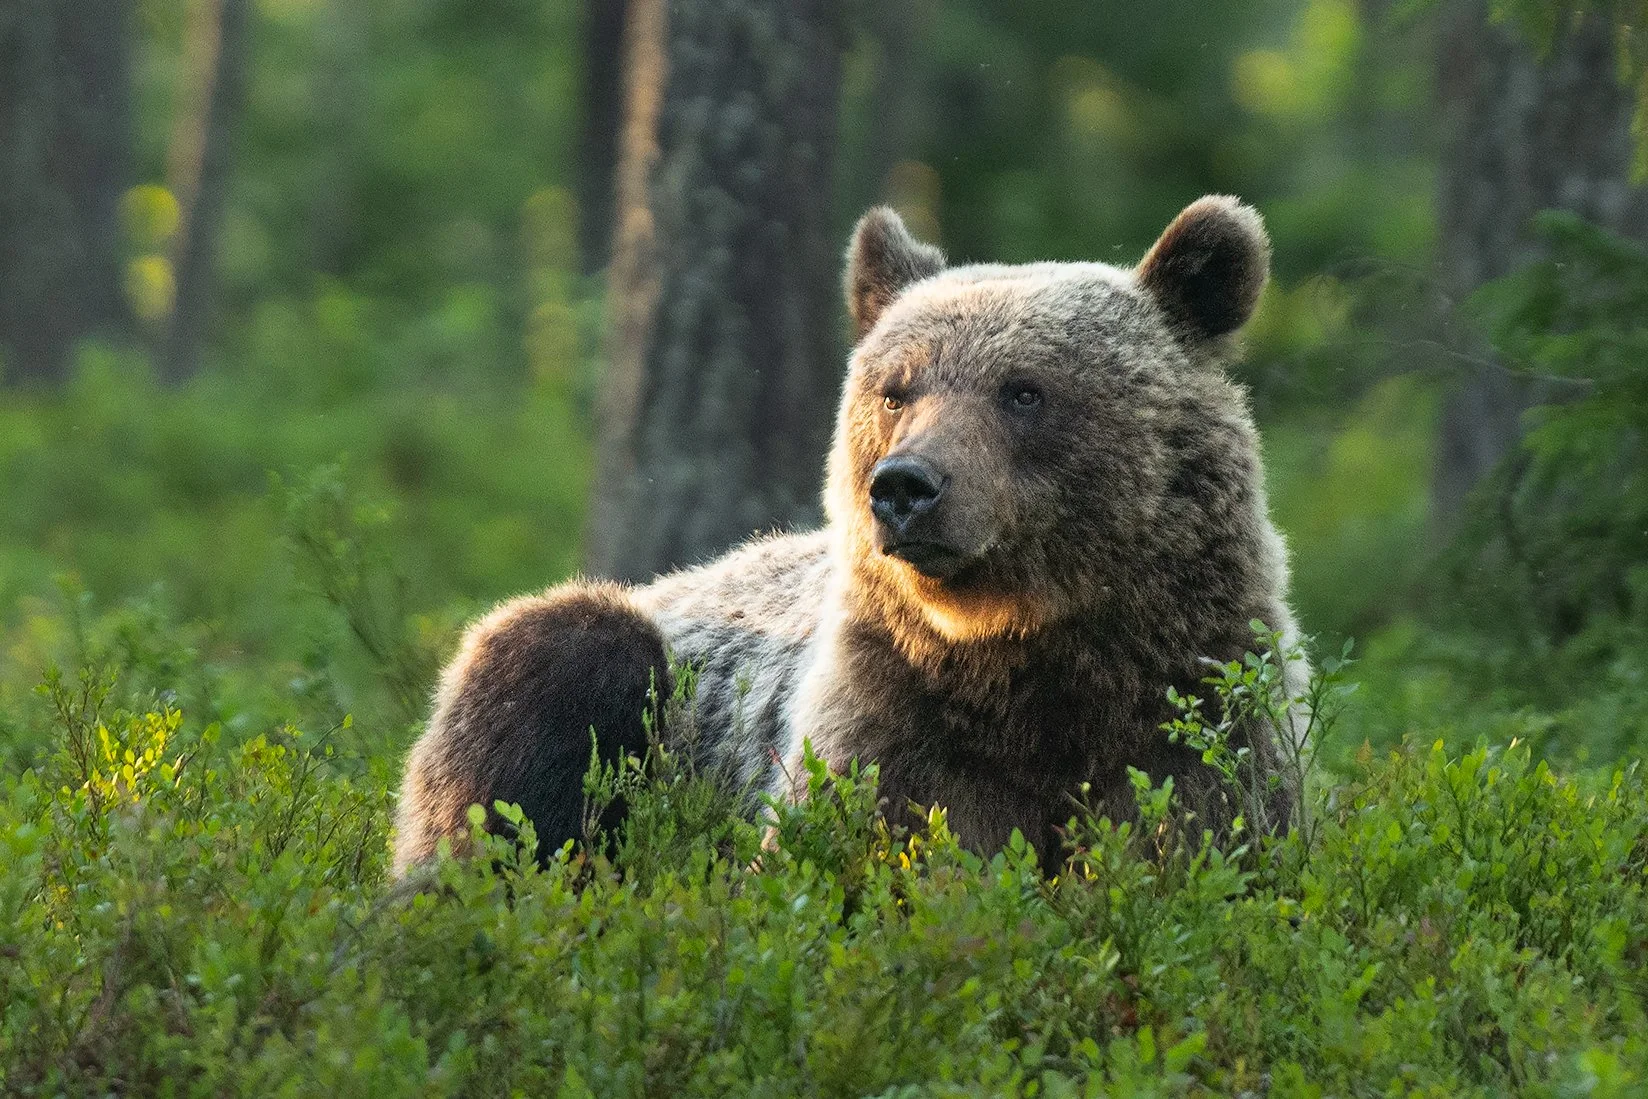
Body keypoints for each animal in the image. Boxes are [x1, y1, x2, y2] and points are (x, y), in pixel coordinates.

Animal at [392, 195, 1305, 876]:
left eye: (1024, 389)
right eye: (897, 389)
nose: (904, 487)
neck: (1035, 658)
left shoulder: (1198, 717)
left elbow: (1206, 839)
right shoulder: (892, 723)